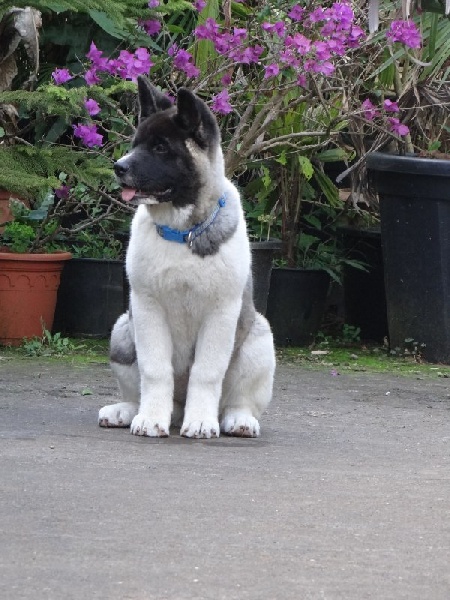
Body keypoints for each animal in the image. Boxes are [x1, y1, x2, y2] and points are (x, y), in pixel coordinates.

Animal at [97, 77, 274, 438]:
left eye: (161, 148)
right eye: (136, 144)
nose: (119, 167)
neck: (181, 231)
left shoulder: (220, 315)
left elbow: (206, 373)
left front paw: (201, 421)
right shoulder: (147, 309)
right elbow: (154, 370)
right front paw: (151, 419)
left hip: (260, 341)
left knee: (237, 401)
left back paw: (238, 420)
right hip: (122, 333)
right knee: (139, 390)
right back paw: (127, 411)